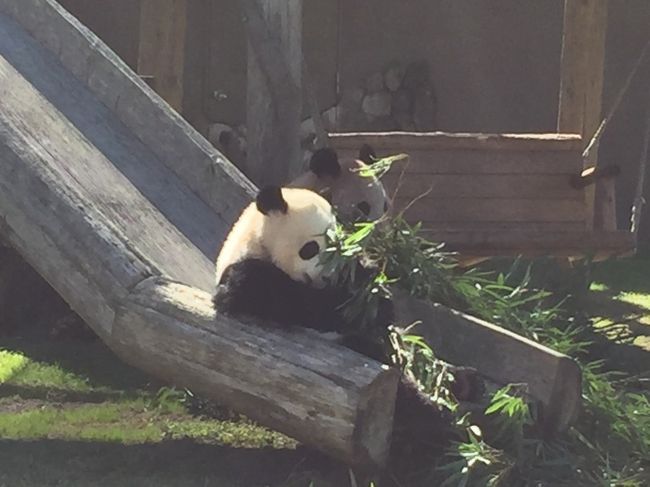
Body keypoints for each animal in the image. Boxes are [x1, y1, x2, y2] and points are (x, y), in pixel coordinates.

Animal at [211, 186, 450, 468]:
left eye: (337, 248)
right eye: (311, 248)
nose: (327, 277)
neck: (255, 241)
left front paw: (369, 284)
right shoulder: (252, 277)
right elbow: (300, 304)